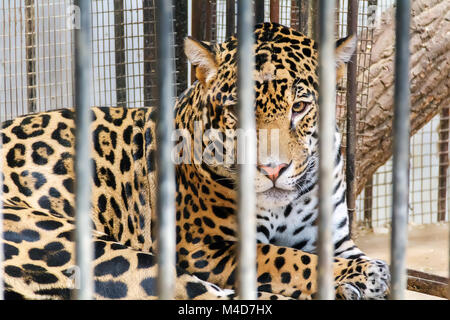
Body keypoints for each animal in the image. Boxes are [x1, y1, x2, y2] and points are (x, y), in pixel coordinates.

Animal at [0, 23, 388, 300]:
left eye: (300, 107)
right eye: (237, 111)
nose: (273, 170)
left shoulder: (339, 239)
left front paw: (365, 273)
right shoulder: (203, 250)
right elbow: (284, 257)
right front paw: (365, 276)